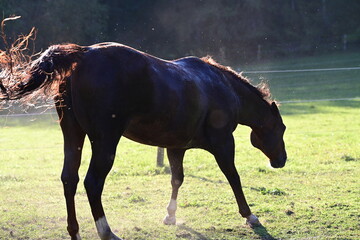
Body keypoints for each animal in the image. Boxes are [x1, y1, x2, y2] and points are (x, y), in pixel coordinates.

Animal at [0, 42, 286, 240]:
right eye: (281, 128)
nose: (281, 160)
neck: (221, 87)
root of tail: (82, 54)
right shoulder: (224, 143)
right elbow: (233, 177)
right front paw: (250, 215)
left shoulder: (176, 146)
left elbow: (176, 178)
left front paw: (170, 215)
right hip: (105, 142)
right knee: (93, 182)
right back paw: (106, 231)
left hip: (73, 135)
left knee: (69, 179)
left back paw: (75, 232)